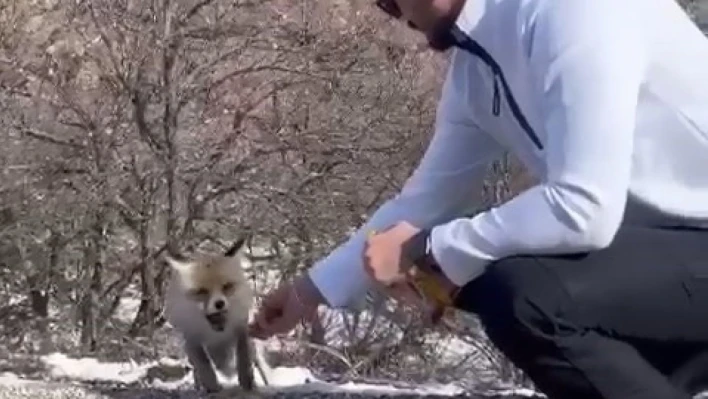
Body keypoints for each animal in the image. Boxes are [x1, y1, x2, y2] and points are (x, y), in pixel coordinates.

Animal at [163, 239, 272, 396]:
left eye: (227, 286)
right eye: (202, 291)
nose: (219, 303)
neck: (216, 333)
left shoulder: (241, 327)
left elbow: (243, 357)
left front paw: (246, 381)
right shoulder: (191, 337)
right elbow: (203, 363)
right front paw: (211, 385)